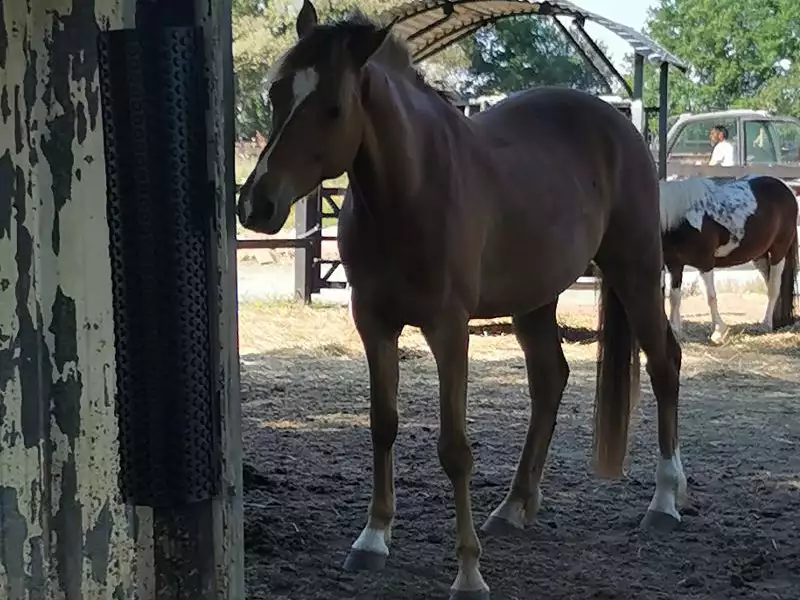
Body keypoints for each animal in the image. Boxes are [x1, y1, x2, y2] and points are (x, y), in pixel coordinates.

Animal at [236, 4, 685, 598]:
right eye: (276, 94)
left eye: (333, 109)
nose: (255, 205)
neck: (410, 192)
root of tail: (621, 127)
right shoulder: (373, 323)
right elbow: (383, 423)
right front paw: (372, 538)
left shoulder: (448, 329)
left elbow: (454, 449)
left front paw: (469, 570)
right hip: (535, 298)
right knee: (550, 379)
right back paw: (515, 506)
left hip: (634, 271)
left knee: (664, 362)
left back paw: (665, 499)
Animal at [660, 175, 798, 343]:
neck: (681, 219)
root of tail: (786, 188)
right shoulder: (674, 265)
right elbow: (674, 297)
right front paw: (675, 330)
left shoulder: (705, 263)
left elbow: (710, 297)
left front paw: (718, 332)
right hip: (760, 256)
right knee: (770, 283)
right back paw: (775, 321)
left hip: (779, 251)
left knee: (774, 287)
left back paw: (766, 324)